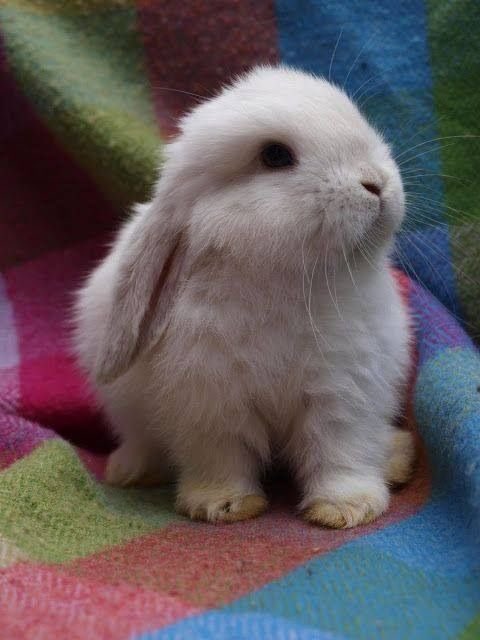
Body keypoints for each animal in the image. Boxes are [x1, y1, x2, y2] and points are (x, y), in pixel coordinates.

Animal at [74, 65, 415, 529]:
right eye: (275, 156)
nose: (376, 183)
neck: (285, 285)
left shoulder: (344, 395)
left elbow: (340, 454)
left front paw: (346, 509)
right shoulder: (211, 404)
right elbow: (221, 459)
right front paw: (223, 506)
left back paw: (398, 458)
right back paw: (130, 470)